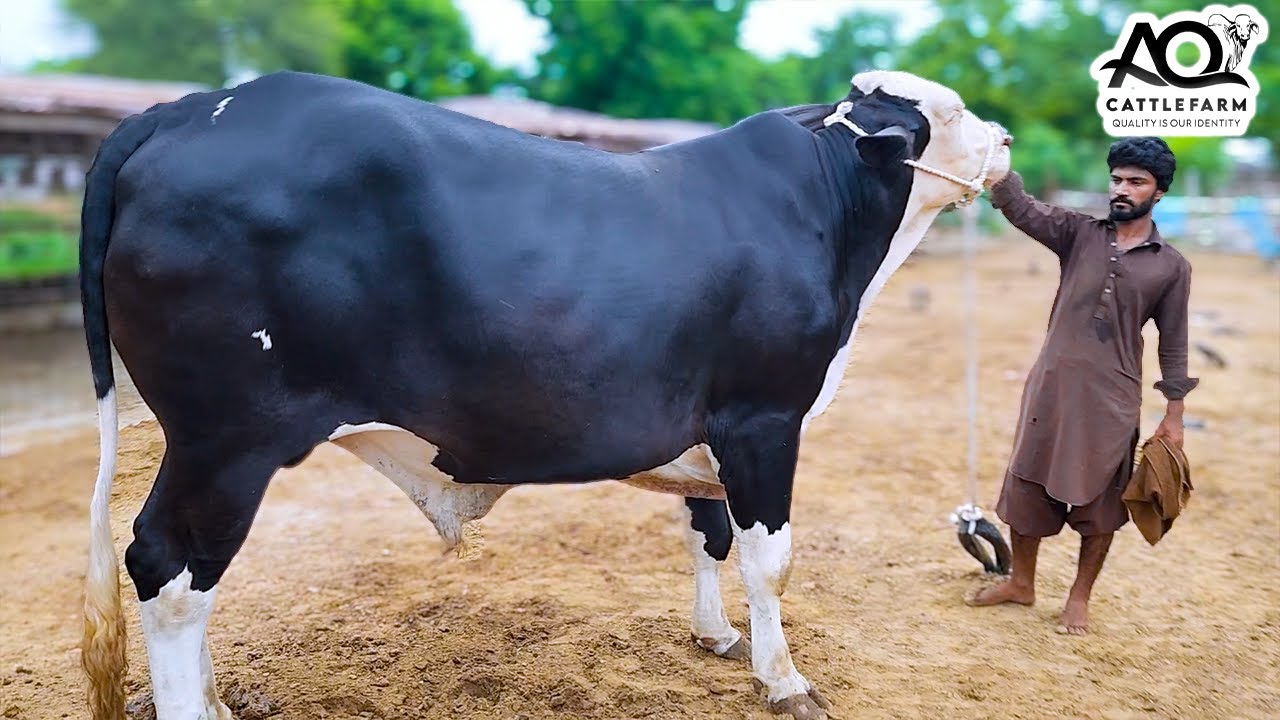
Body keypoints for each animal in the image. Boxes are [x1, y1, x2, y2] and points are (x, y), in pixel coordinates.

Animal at [78, 69, 1010, 720]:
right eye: (955, 112)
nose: (1004, 137)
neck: (824, 204)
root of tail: (191, 107)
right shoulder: (765, 417)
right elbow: (768, 559)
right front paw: (784, 680)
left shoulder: (708, 427)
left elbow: (706, 534)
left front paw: (714, 635)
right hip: (226, 440)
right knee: (168, 568)